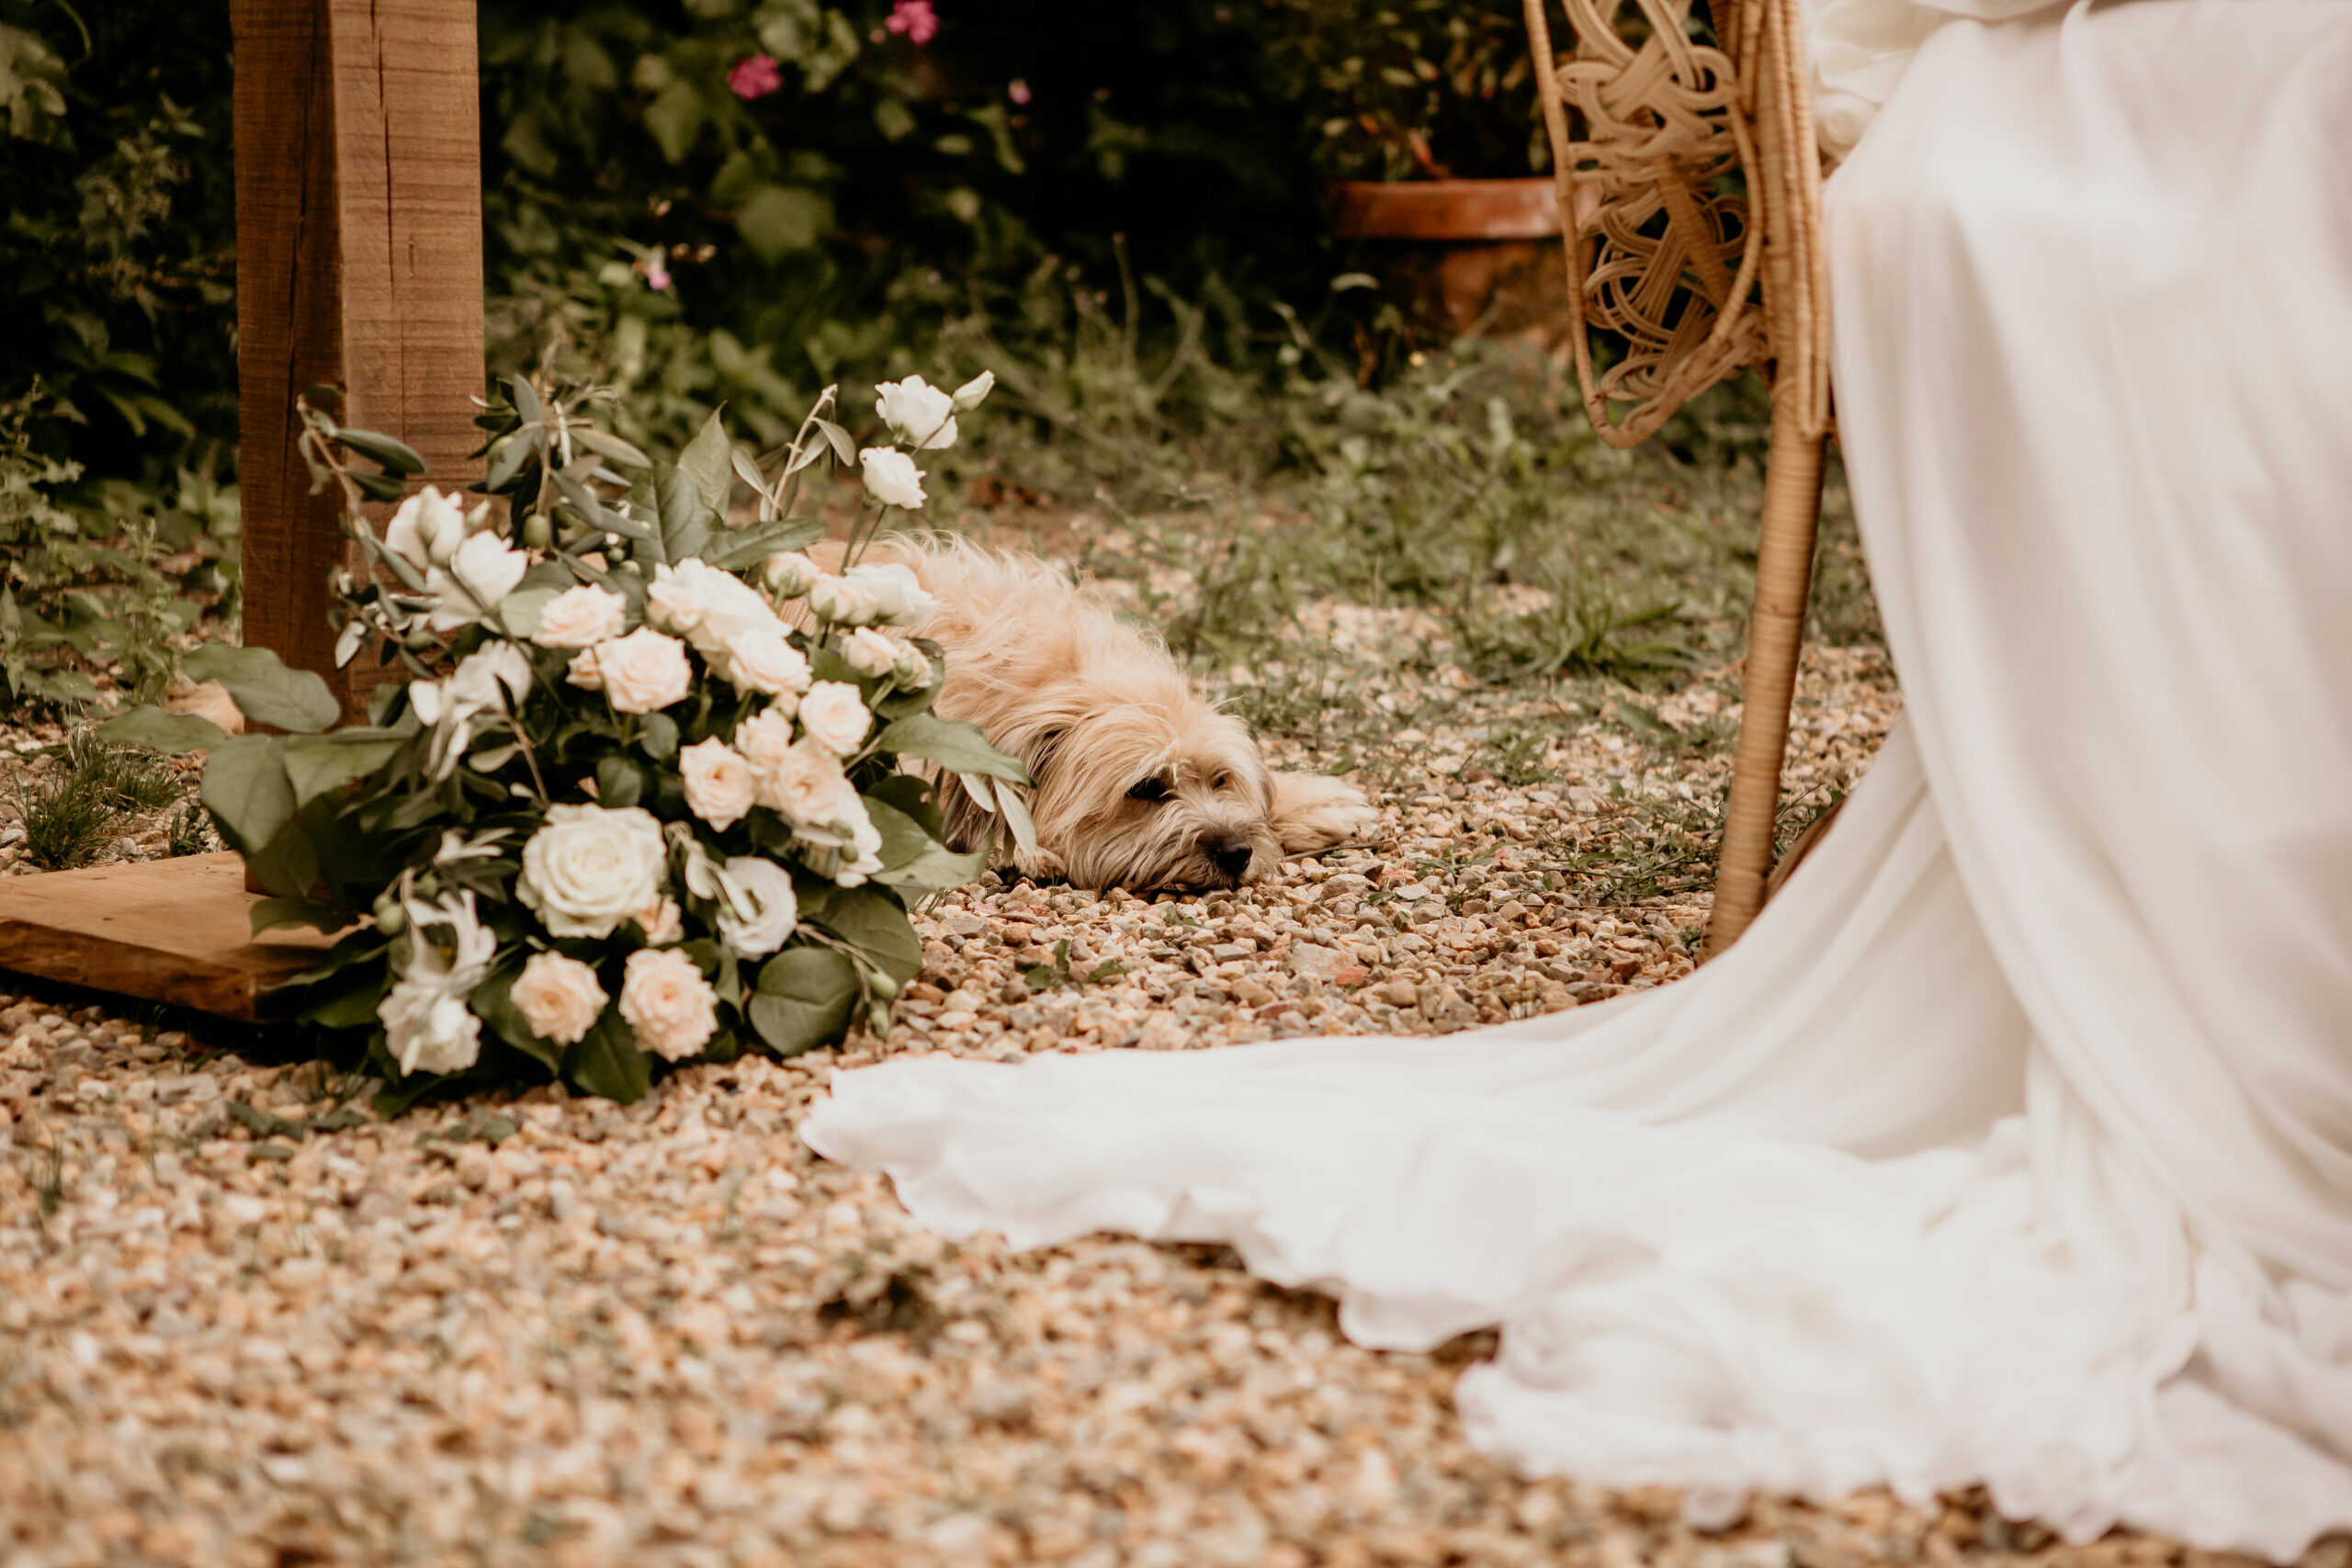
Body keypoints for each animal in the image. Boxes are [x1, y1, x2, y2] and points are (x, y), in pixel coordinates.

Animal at [823, 540, 1374, 888]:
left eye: (1221, 780)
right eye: (1147, 789)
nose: (1238, 853)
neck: (1041, 682)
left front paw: (1312, 802)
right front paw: (1032, 851)